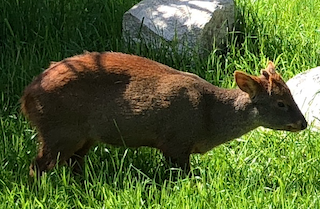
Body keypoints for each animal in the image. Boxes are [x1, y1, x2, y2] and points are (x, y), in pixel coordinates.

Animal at [20, 52, 308, 176]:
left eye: (291, 96)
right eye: (281, 103)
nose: (303, 123)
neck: (209, 119)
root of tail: (27, 96)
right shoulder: (175, 143)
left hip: (82, 137)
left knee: (73, 165)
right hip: (59, 131)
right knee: (37, 166)